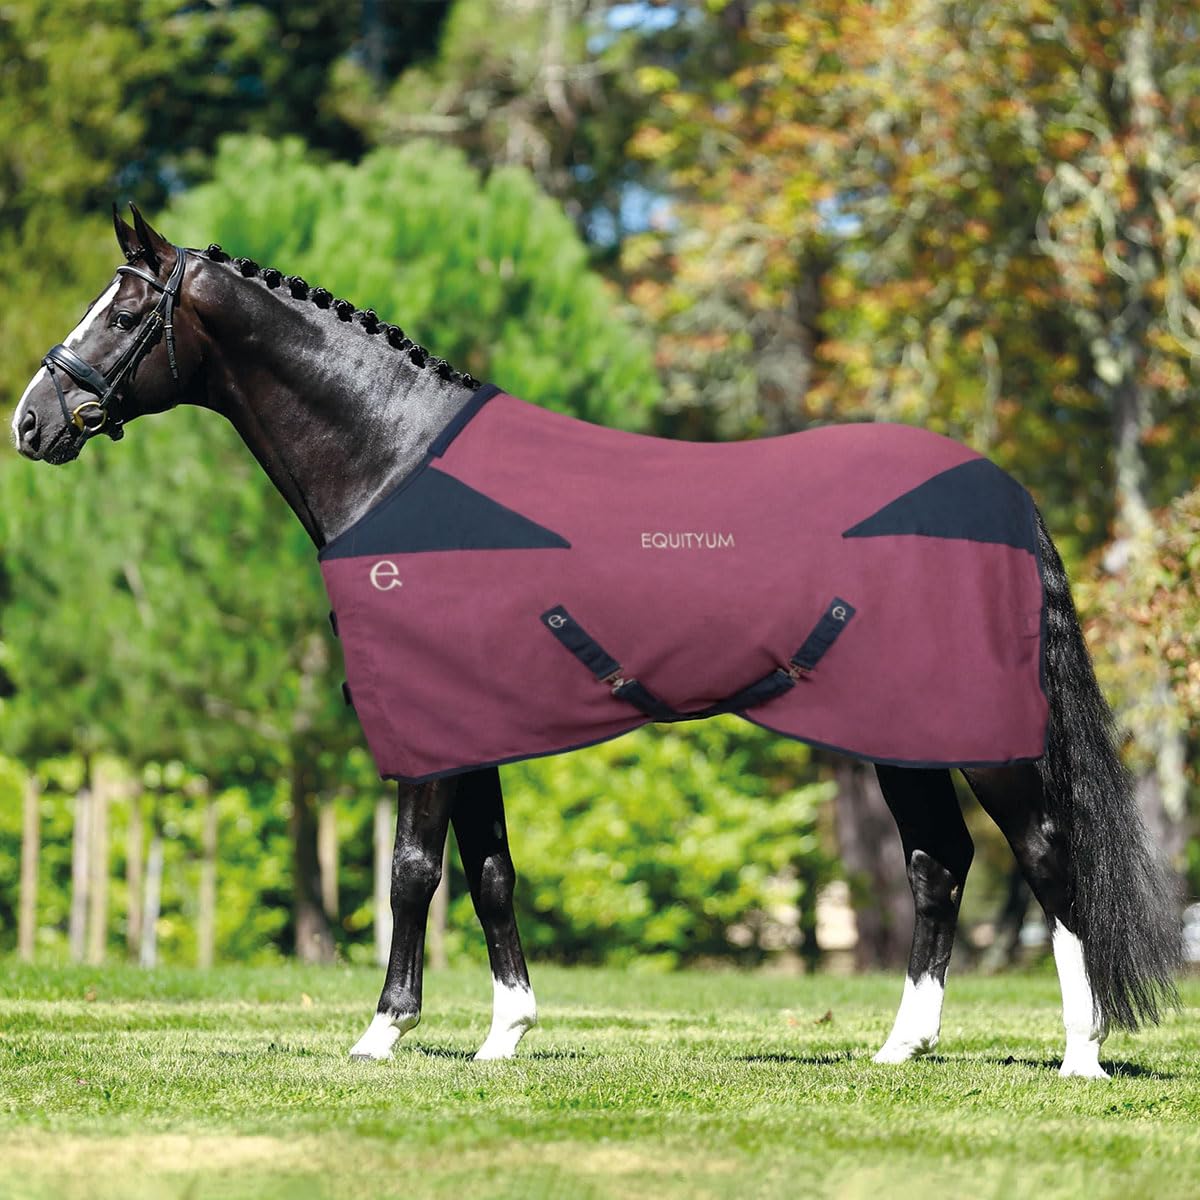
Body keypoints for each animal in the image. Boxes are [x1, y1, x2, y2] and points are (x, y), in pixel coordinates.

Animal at [12, 206, 1178, 1077]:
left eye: (126, 307)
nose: (31, 420)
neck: (399, 469)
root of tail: (999, 492)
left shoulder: (427, 735)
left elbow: (411, 873)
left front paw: (383, 1032)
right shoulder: (469, 728)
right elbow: (489, 872)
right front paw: (504, 1036)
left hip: (987, 740)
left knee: (1046, 856)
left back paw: (1081, 1056)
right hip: (901, 735)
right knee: (941, 864)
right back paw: (902, 1049)